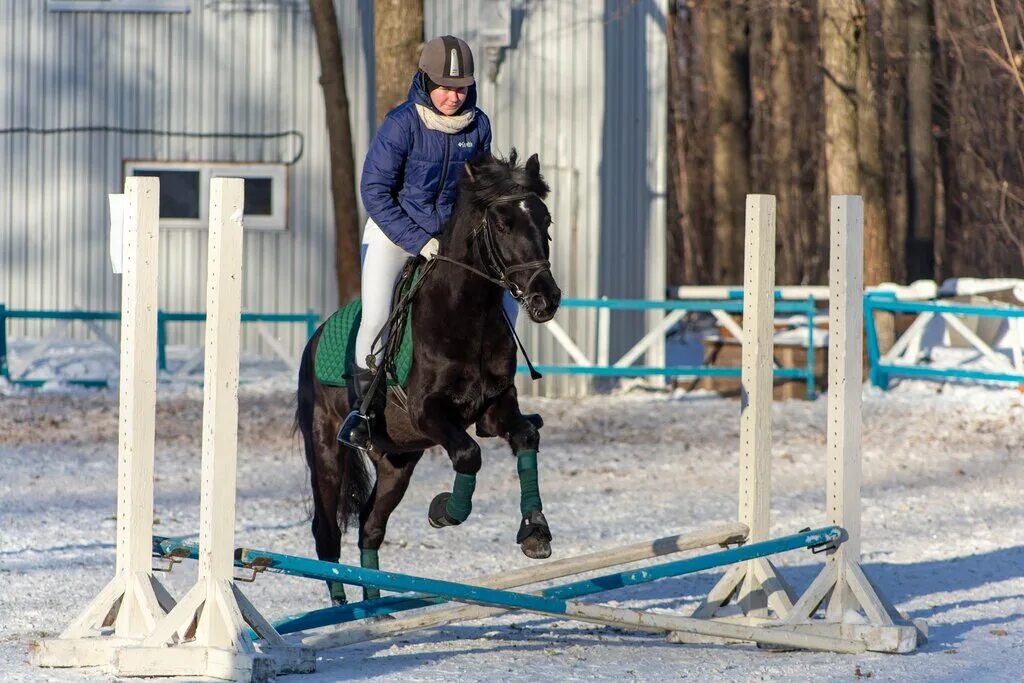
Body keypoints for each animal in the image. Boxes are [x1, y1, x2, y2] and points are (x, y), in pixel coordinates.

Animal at [296, 150, 565, 602]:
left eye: (545, 220)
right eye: (503, 223)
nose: (546, 298)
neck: (467, 315)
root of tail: (314, 340)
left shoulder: (495, 407)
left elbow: (526, 437)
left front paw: (535, 532)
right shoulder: (427, 412)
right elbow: (469, 454)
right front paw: (444, 510)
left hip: (397, 460)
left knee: (370, 527)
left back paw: (374, 606)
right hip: (328, 451)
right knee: (327, 533)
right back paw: (341, 608)